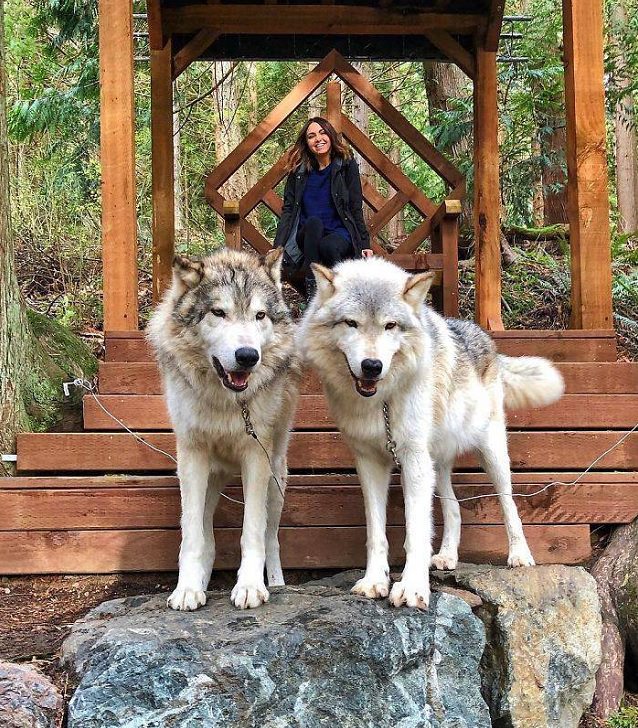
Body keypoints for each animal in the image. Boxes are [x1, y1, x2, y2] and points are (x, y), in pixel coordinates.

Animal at [149, 247, 302, 612]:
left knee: (271, 539)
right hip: (210, 478)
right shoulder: (192, 458)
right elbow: (192, 536)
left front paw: (250, 587)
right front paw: (188, 589)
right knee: (206, 537)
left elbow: (252, 533)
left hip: (276, 479)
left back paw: (276, 583)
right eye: (218, 312)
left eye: (260, 315)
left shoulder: (256, 459)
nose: (247, 356)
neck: (226, 402)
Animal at [300, 256, 564, 608]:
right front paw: (374, 581)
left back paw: (519, 555)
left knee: (509, 505)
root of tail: (484, 337)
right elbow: (376, 534)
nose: (372, 366)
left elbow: (416, 533)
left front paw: (412, 587)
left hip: (490, 454)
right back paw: (447, 556)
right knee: (453, 509)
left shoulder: (412, 460)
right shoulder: (370, 462)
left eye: (390, 326)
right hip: (435, 466)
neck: (382, 402)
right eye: (351, 323)